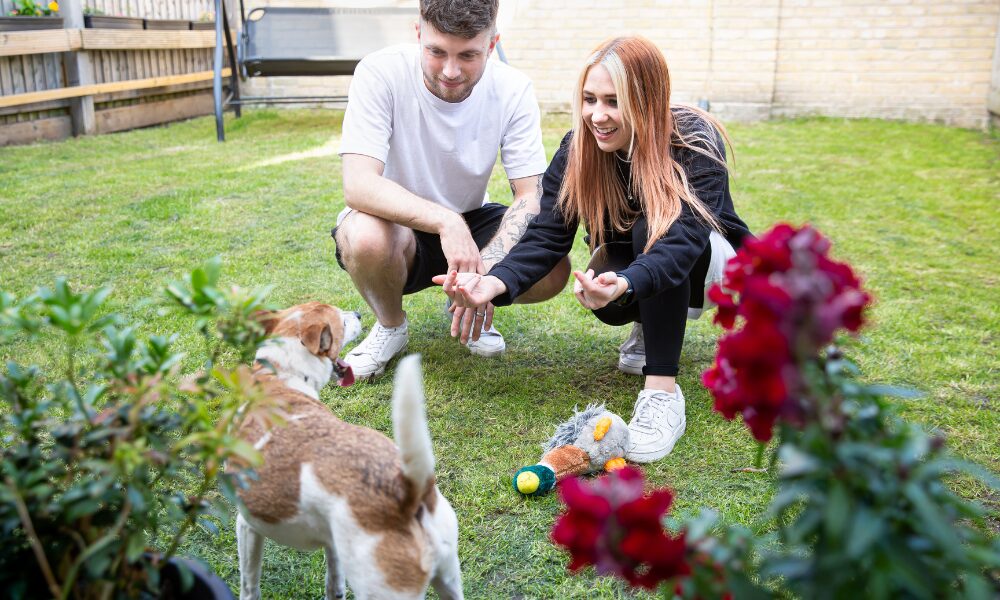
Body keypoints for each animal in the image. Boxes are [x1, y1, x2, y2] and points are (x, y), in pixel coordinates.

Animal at [235, 304, 464, 600]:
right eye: (342, 322)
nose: (357, 313)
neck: (282, 377)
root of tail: (408, 491)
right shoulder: (331, 541)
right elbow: (334, 581)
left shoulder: (246, 525)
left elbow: (249, 583)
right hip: (448, 576)